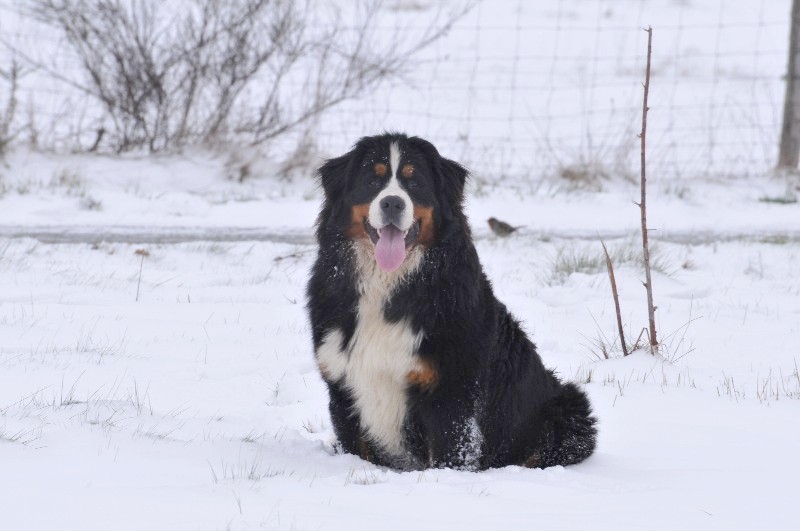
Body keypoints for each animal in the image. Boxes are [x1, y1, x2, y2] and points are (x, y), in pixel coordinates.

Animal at [306, 135, 592, 472]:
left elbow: (448, 455)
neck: (389, 286)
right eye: (372, 180)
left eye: (414, 182)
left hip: (570, 410)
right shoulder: (342, 386)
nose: (393, 203)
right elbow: (355, 449)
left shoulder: (451, 394)